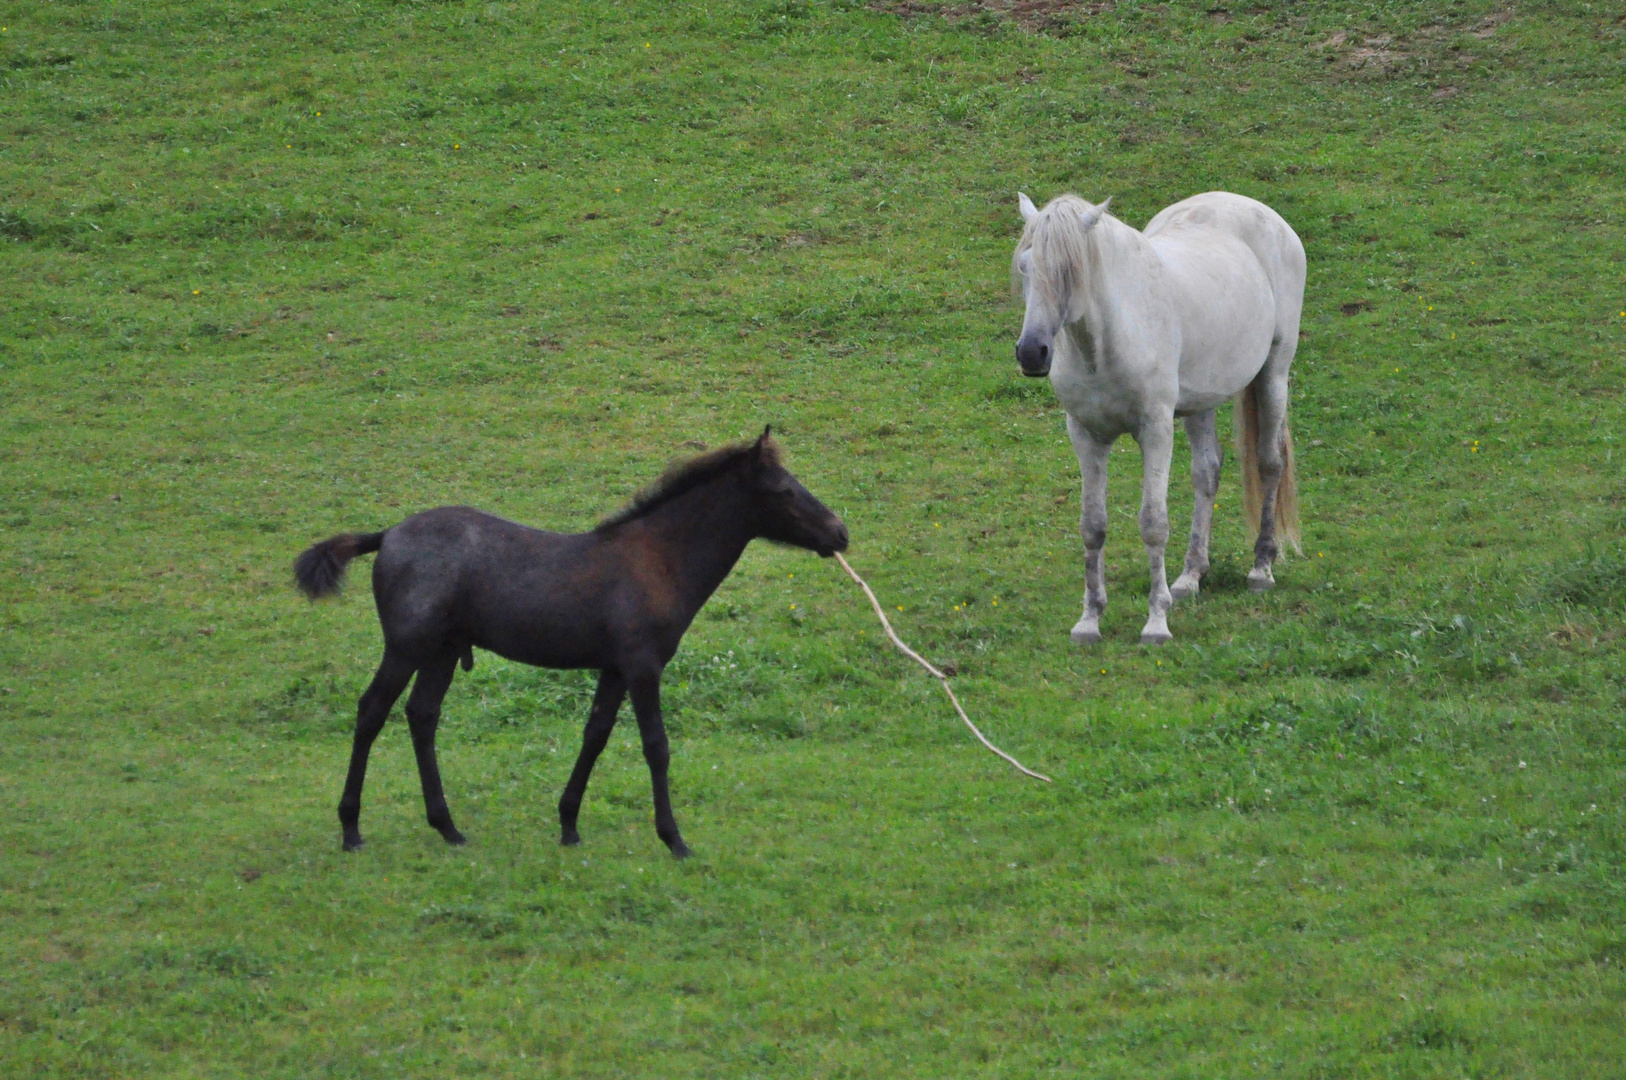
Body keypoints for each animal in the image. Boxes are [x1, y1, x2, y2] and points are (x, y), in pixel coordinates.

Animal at [1014, 189, 1307, 644]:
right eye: (1025, 265)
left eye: (1069, 270)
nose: (1032, 353)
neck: (1106, 343)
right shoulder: (1085, 434)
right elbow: (1092, 525)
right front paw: (1089, 620)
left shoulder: (1155, 431)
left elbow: (1153, 523)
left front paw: (1156, 622)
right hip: (1201, 401)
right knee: (1207, 472)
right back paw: (1189, 576)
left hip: (1273, 373)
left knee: (1270, 463)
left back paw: (1261, 568)